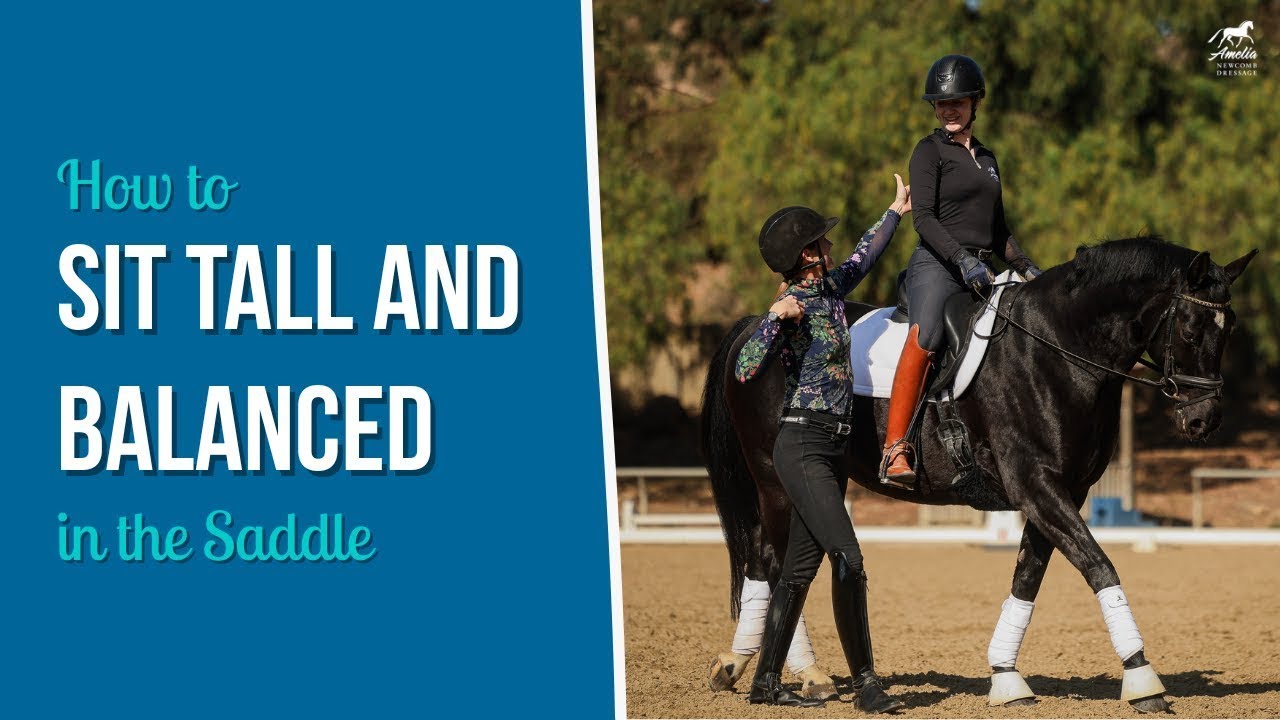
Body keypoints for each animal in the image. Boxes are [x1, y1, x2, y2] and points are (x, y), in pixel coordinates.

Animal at [701, 237, 1256, 712]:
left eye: (1229, 330)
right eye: (1190, 329)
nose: (1204, 421)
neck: (1057, 349)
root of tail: (755, 324)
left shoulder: (1062, 492)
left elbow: (1027, 578)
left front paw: (1006, 677)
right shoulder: (1036, 486)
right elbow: (1101, 567)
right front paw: (1142, 678)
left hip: (818, 479)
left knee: (773, 559)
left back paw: (745, 665)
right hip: (775, 477)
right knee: (777, 563)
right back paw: (801, 675)